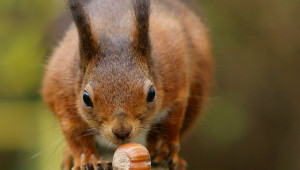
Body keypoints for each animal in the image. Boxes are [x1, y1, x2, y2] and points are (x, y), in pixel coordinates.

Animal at [42, 0, 212, 169]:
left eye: (151, 94)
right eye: (86, 98)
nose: (122, 131)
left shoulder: (174, 78)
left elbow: (172, 120)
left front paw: (165, 147)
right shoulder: (64, 95)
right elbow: (74, 135)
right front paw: (88, 159)